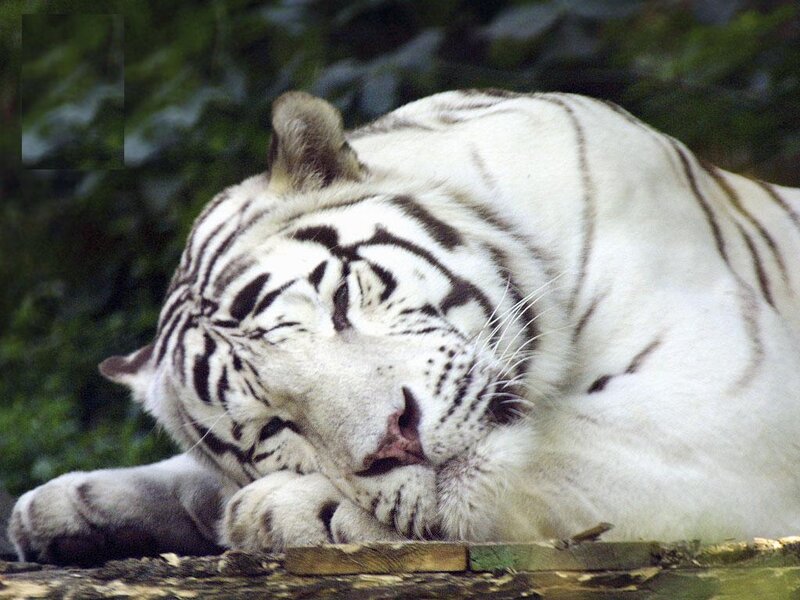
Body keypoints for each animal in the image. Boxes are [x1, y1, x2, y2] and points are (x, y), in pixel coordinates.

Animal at [8, 89, 800, 566]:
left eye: (339, 302)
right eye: (272, 427)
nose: (397, 438)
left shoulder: (729, 416)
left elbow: (554, 456)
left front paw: (277, 512)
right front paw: (60, 507)